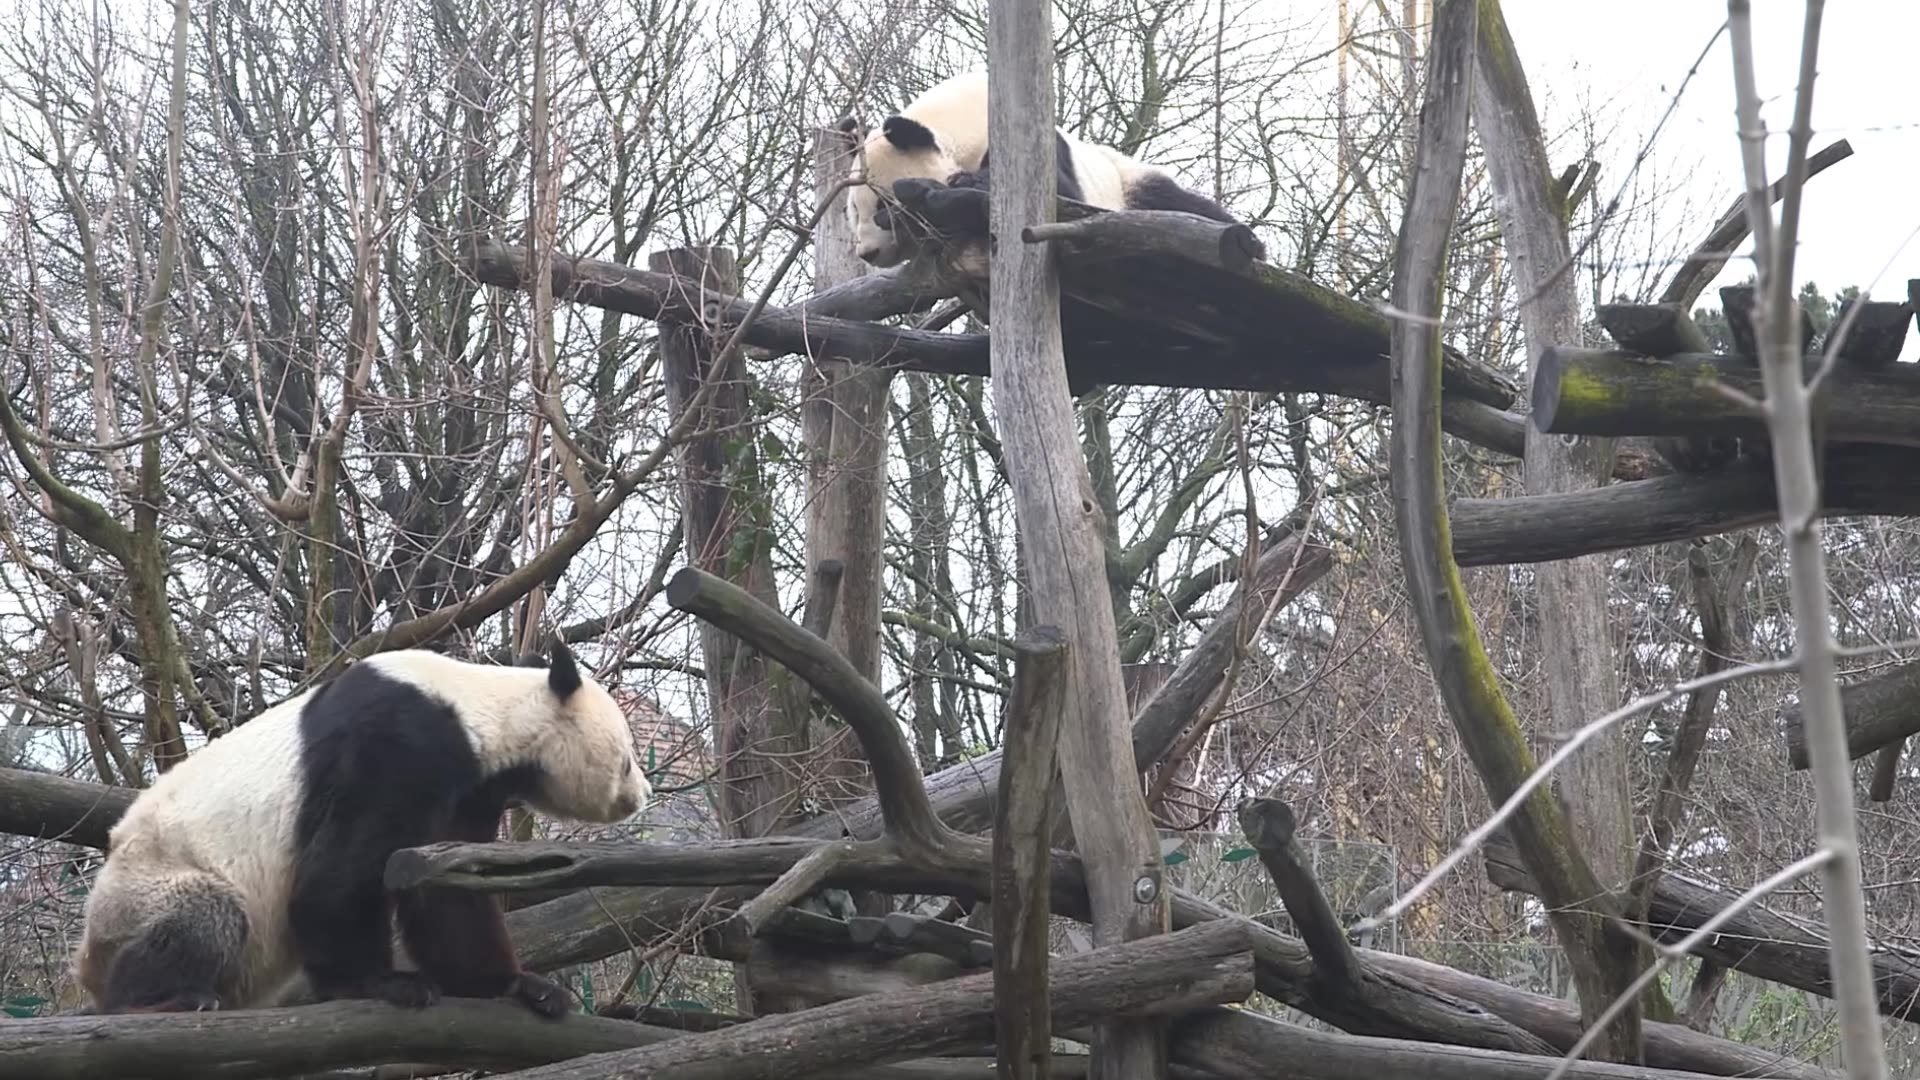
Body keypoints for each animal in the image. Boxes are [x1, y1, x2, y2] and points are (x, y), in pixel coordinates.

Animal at [70, 643, 650, 1018]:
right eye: (627, 758)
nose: (642, 795)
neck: (483, 710)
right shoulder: (394, 743)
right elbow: (342, 871)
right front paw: (381, 983)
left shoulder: (470, 790)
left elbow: (446, 887)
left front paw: (518, 987)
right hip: (145, 886)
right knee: (202, 917)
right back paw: (166, 996)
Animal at [844, 70, 1241, 268]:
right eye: (854, 212)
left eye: (882, 206)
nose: (868, 254)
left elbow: (1059, 197)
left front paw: (959, 184)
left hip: (1128, 185)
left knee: (1181, 204)